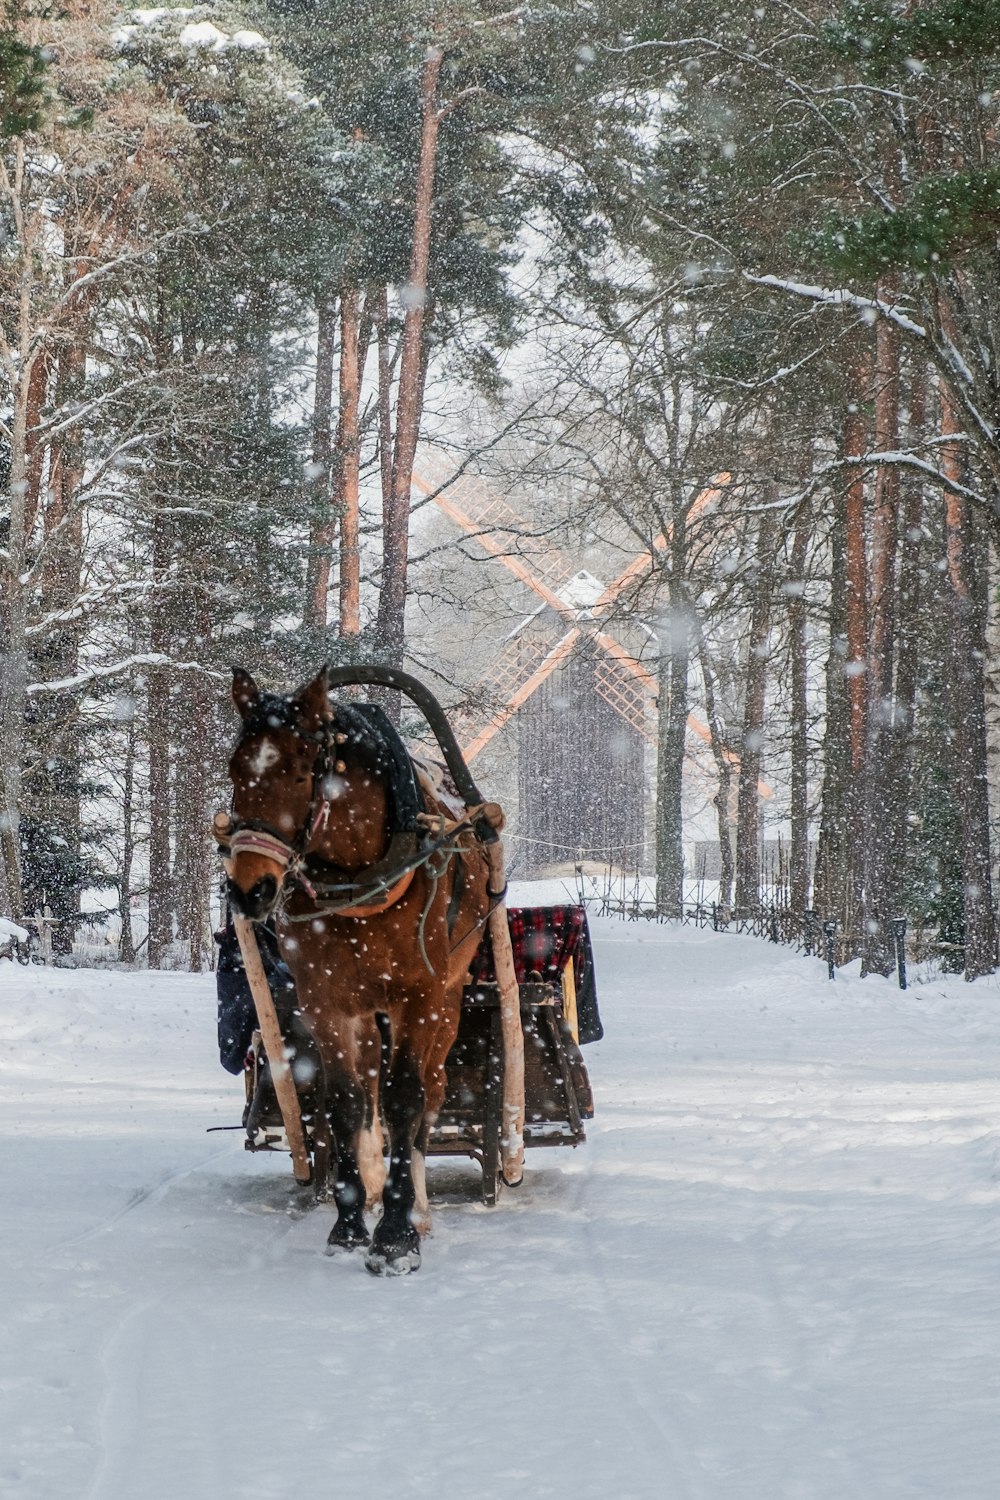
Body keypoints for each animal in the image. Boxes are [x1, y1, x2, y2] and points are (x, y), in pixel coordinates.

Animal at [224, 672, 494, 1278]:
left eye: (302, 771)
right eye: (234, 768)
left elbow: (404, 1100)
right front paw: (349, 1224)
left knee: (429, 1096)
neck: (359, 879)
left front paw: (396, 1237)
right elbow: (345, 1102)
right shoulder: (325, 1000)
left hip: (448, 1003)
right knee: (369, 1085)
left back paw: (417, 1207)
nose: (250, 889)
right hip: (367, 1011)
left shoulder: (418, 997)